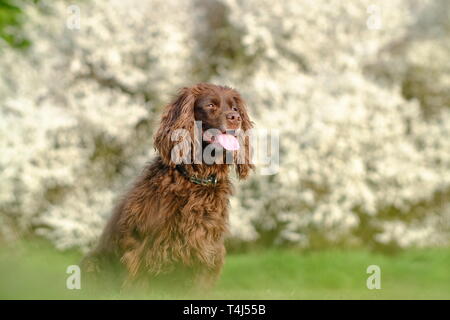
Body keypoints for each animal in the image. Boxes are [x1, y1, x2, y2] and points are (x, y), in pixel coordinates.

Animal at [82, 84, 253, 288]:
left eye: (235, 108)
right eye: (210, 105)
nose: (235, 118)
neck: (196, 178)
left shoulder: (206, 247)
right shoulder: (139, 246)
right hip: (92, 263)